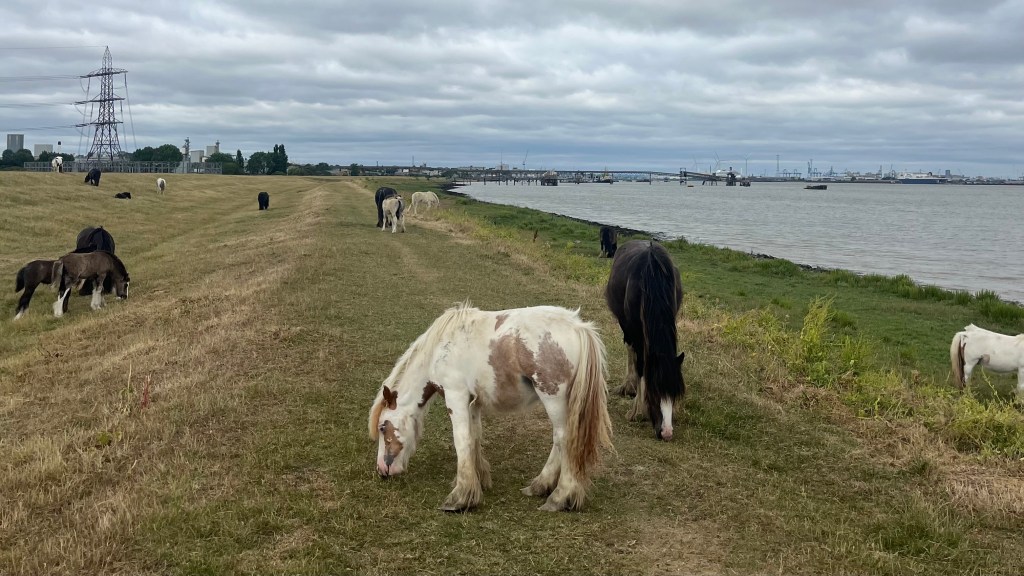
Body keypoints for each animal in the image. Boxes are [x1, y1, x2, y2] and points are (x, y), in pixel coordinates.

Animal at [368, 303, 613, 512]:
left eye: (382, 427)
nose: (382, 470)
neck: (440, 349)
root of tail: (579, 327)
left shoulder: (455, 397)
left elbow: (461, 440)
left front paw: (459, 498)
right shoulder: (472, 403)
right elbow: (474, 437)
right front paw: (476, 481)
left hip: (553, 398)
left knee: (564, 439)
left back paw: (560, 497)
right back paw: (540, 486)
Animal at [605, 240, 685, 441]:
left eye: (675, 393)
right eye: (654, 393)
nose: (666, 433)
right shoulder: (635, 330)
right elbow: (641, 365)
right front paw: (639, 411)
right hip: (626, 325)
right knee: (630, 349)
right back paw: (629, 385)